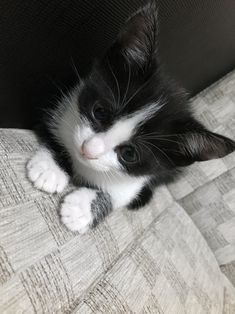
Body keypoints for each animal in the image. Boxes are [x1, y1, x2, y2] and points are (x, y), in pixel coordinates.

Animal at [26, 3, 235, 233]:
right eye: (100, 112)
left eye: (129, 153)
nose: (88, 150)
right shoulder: (63, 105)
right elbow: (52, 132)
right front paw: (51, 169)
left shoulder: (136, 180)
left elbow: (119, 197)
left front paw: (82, 209)